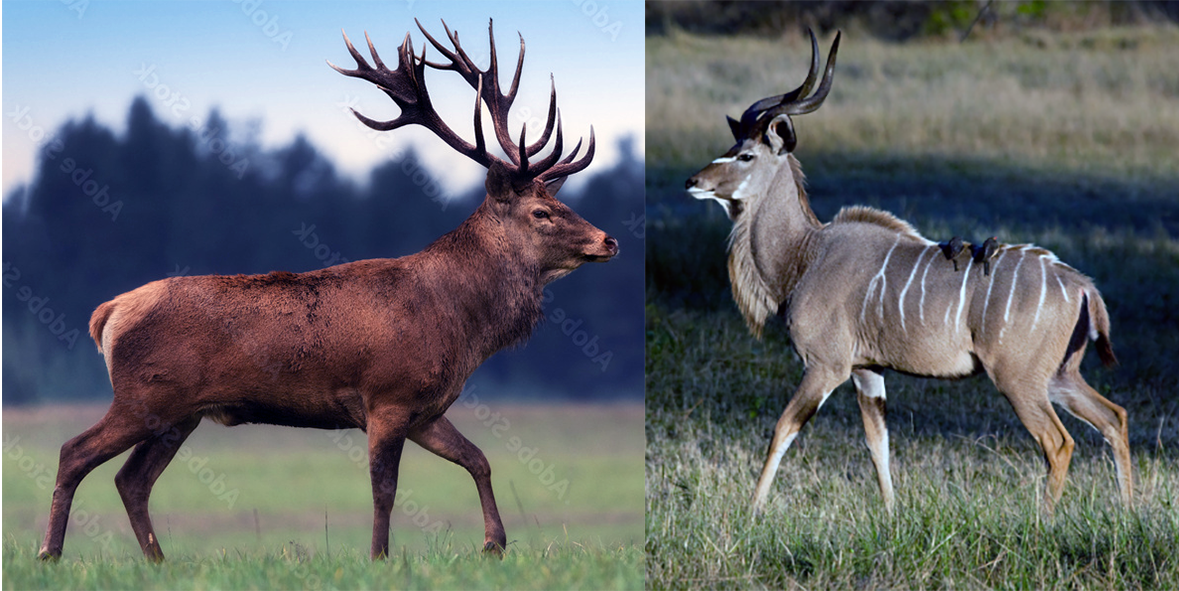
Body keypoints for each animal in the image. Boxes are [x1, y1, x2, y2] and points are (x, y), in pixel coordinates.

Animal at [37, 19, 618, 562]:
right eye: (541, 212)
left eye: (562, 203)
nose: (607, 240)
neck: (461, 326)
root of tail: (108, 313)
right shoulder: (387, 396)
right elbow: (385, 490)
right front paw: (380, 556)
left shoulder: (426, 409)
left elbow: (478, 458)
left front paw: (494, 543)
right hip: (144, 395)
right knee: (73, 451)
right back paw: (50, 553)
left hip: (178, 414)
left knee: (131, 479)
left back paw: (159, 561)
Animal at [684, 30, 1131, 516]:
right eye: (732, 148)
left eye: (746, 155)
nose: (693, 182)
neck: (807, 254)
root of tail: (1082, 286)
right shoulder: (867, 371)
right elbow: (877, 443)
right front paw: (890, 513)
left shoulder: (826, 366)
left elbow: (783, 430)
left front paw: (752, 512)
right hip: (1060, 377)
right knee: (1114, 417)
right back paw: (1131, 511)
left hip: (1020, 381)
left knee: (1059, 442)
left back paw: (1044, 520)